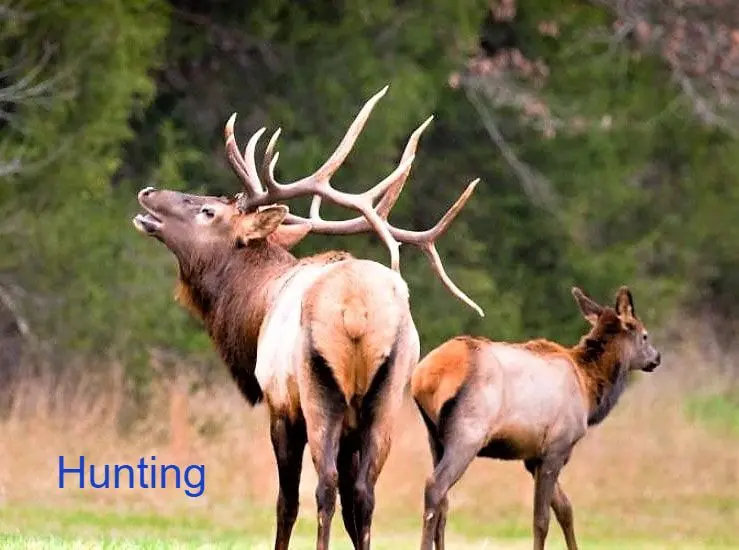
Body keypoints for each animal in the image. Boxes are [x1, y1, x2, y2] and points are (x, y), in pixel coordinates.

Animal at [131, 86, 484, 550]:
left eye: (209, 211)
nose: (148, 192)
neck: (254, 312)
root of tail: (357, 310)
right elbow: (354, 506)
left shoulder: (280, 406)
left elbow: (286, 502)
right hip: (387, 396)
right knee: (364, 493)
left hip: (320, 391)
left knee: (325, 487)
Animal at [411, 286, 662, 550]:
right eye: (645, 335)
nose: (657, 357)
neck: (589, 390)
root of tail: (423, 377)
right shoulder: (557, 448)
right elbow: (542, 519)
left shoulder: (533, 458)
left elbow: (565, 509)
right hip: (468, 434)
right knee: (435, 487)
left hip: (434, 438)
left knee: (444, 502)